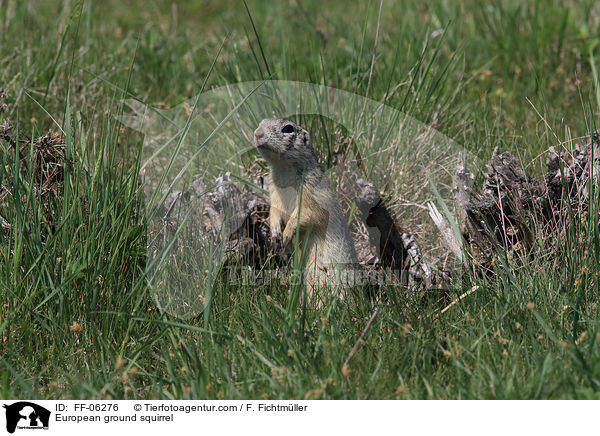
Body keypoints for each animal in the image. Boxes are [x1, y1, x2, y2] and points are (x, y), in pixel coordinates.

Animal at [252, 117, 356, 294]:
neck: (283, 169)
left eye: (288, 128)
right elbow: (274, 211)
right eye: (262, 122)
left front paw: (286, 233)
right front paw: (275, 233)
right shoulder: (275, 194)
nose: (257, 133)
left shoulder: (312, 192)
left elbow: (308, 213)